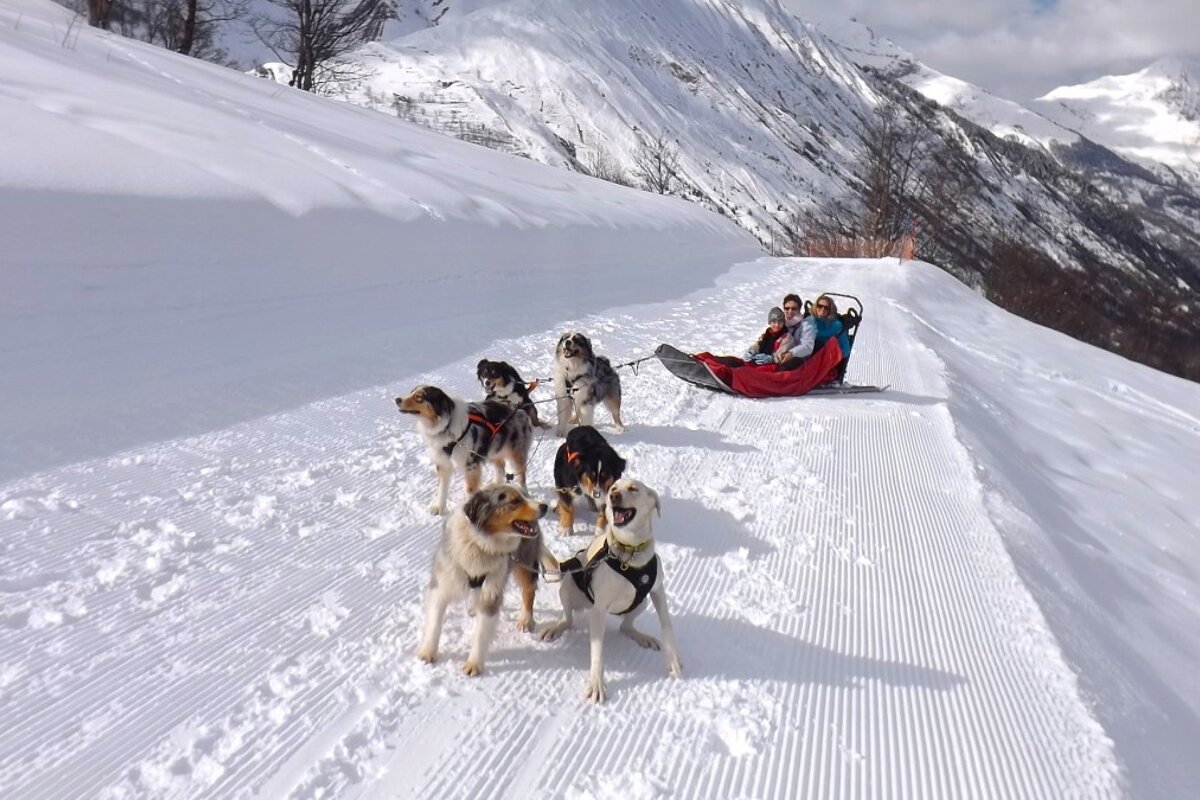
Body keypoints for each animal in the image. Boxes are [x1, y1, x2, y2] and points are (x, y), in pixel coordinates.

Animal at [396, 383, 532, 515]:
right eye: (411, 392)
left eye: (419, 397)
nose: (397, 399)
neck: (446, 425)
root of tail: (518, 407)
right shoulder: (443, 463)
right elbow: (442, 488)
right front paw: (439, 506)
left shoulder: (470, 465)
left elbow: (469, 490)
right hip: (491, 448)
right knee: (501, 466)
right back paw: (495, 485)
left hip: (515, 453)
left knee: (521, 475)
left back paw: (524, 494)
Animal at [417, 482, 549, 676]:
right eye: (515, 501)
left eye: (524, 497)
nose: (544, 506)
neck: (479, 544)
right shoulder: (441, 585)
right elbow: (434, 624)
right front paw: (428, 653)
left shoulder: (491, 592)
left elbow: (480, 634)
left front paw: (474, 665)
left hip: (525, 560)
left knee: (529, 589)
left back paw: (525, 620)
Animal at [540, 479, 681, 705]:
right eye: (614, 488)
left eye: (634, 489)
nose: (613, 497)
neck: (630, 553)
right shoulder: (598, 610)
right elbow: (597, 652)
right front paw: (597, 685)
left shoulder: (658, 591)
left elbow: (667, 627)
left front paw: (674, 662)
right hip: (569, 588)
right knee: (567, 618)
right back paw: (557, 627)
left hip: (641, 601)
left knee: (626, 626)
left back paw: (640, 636)